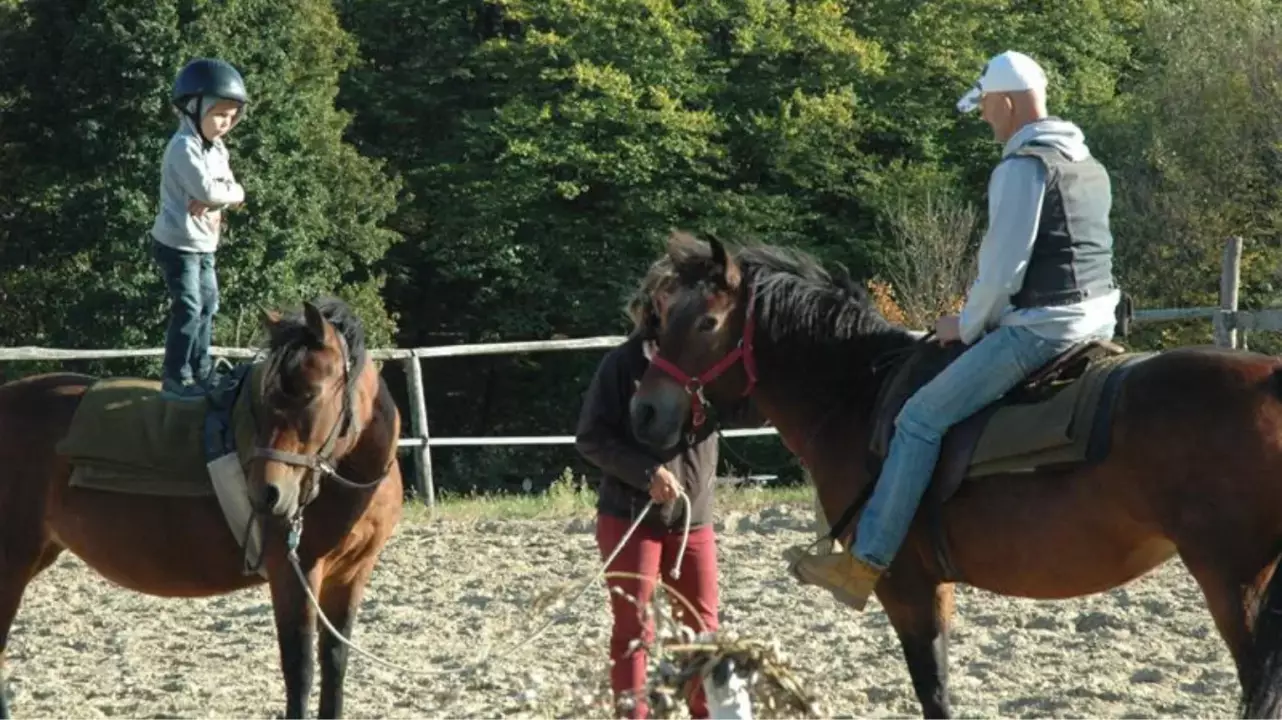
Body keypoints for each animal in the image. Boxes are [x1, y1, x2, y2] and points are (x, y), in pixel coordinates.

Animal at [0, 294, 402, 712]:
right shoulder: (295, 573)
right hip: (11, 561)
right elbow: (301, 671)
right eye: (263, 399)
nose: (267, 493)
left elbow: (335, 664)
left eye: (309, 395)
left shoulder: (352, 573)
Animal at [628, 233, 1282, 712]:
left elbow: (934, 691)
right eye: (662, 314)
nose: (646, 410)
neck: (857, 394)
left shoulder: (908, 588)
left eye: (706, 323)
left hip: (1235, 583)